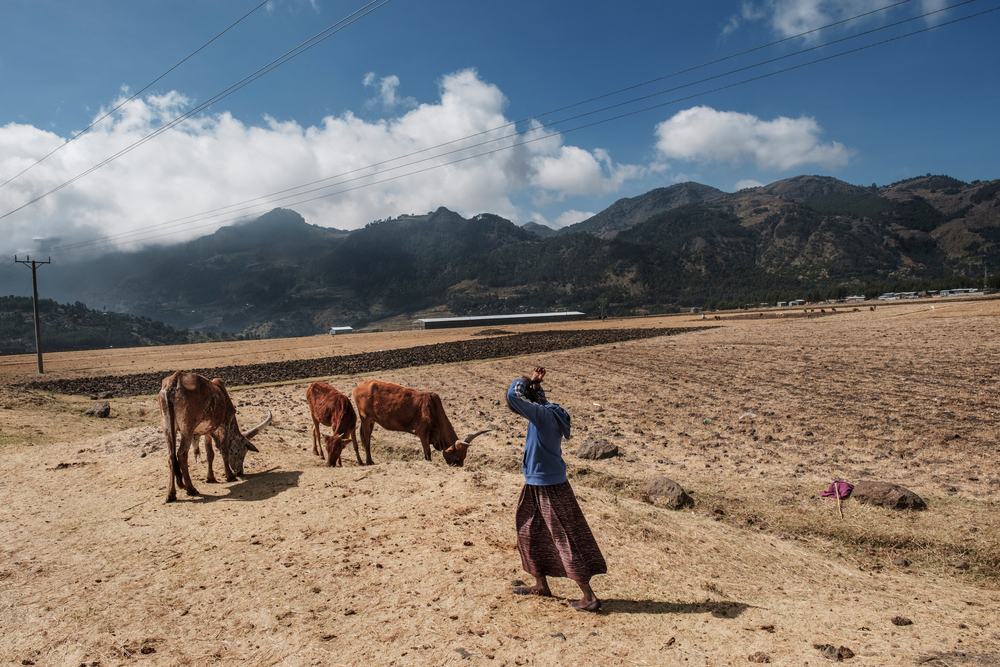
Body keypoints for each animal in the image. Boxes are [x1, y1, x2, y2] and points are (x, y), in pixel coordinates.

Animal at [158, 370, 272, 500]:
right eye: (243, 451)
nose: (239, 472)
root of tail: (174, 379)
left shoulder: (207, 431)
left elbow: (210, 454)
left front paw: (210, 478)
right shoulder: (224, 426)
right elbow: (224, 451)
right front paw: (230, 476)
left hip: (167, 427)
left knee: (171, 457)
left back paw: (171, 494)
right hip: (187, 429)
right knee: (181, 455)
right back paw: (191, 489)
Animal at [352, 378, 492, 468]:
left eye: (464, 457)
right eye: (457, 457)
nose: (459, 467)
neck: (434, 409)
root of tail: (360, 384)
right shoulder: (423, 434)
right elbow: (428, 453)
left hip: (372, 421)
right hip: (366, 419)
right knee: (366, 439)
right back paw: (369, 462)